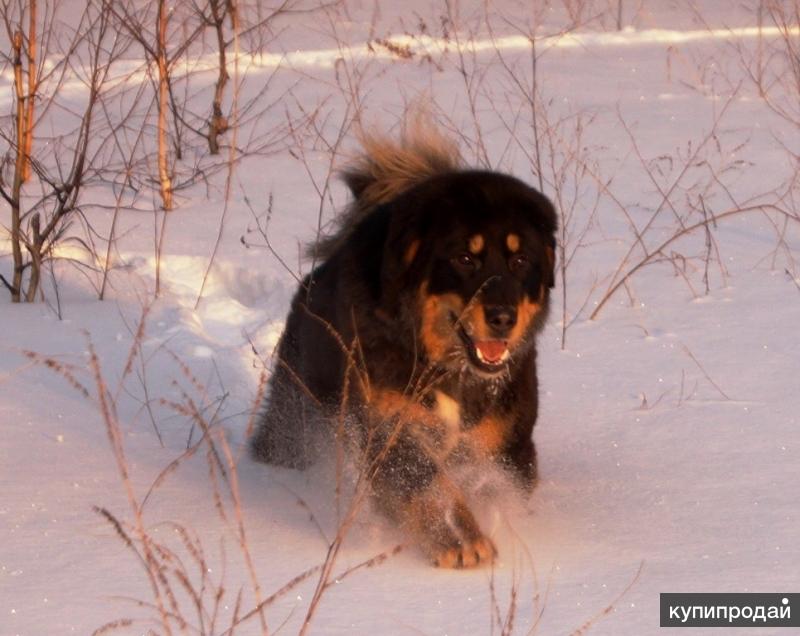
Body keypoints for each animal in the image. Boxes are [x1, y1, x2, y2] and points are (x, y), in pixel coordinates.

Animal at [252, 123, 556, 568]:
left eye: (520, 262)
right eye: (465, 259)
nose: (503, 317)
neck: (444, 366)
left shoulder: (507, 444)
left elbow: (488, 486)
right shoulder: (388, 427)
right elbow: (428, 483)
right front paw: (457, 538)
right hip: (298, 413)